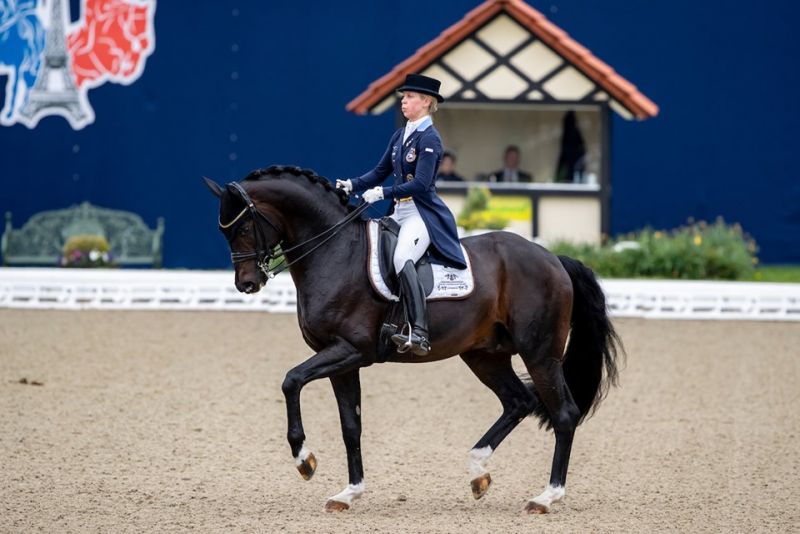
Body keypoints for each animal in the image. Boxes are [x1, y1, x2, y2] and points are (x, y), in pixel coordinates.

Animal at [204, 165, 622, 514]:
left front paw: (304, 460)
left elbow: (290, 381)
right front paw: (349, 493)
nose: (247, 284)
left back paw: (546, 497)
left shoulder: (351, 350)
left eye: (243, 228)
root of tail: (553, 258)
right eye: (224, 231)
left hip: (540, 355)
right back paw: (478, 472)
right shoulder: (340, 359)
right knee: (518, 401)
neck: (335, 252)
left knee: (563, 413)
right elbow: (350, 425)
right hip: (484, 355)